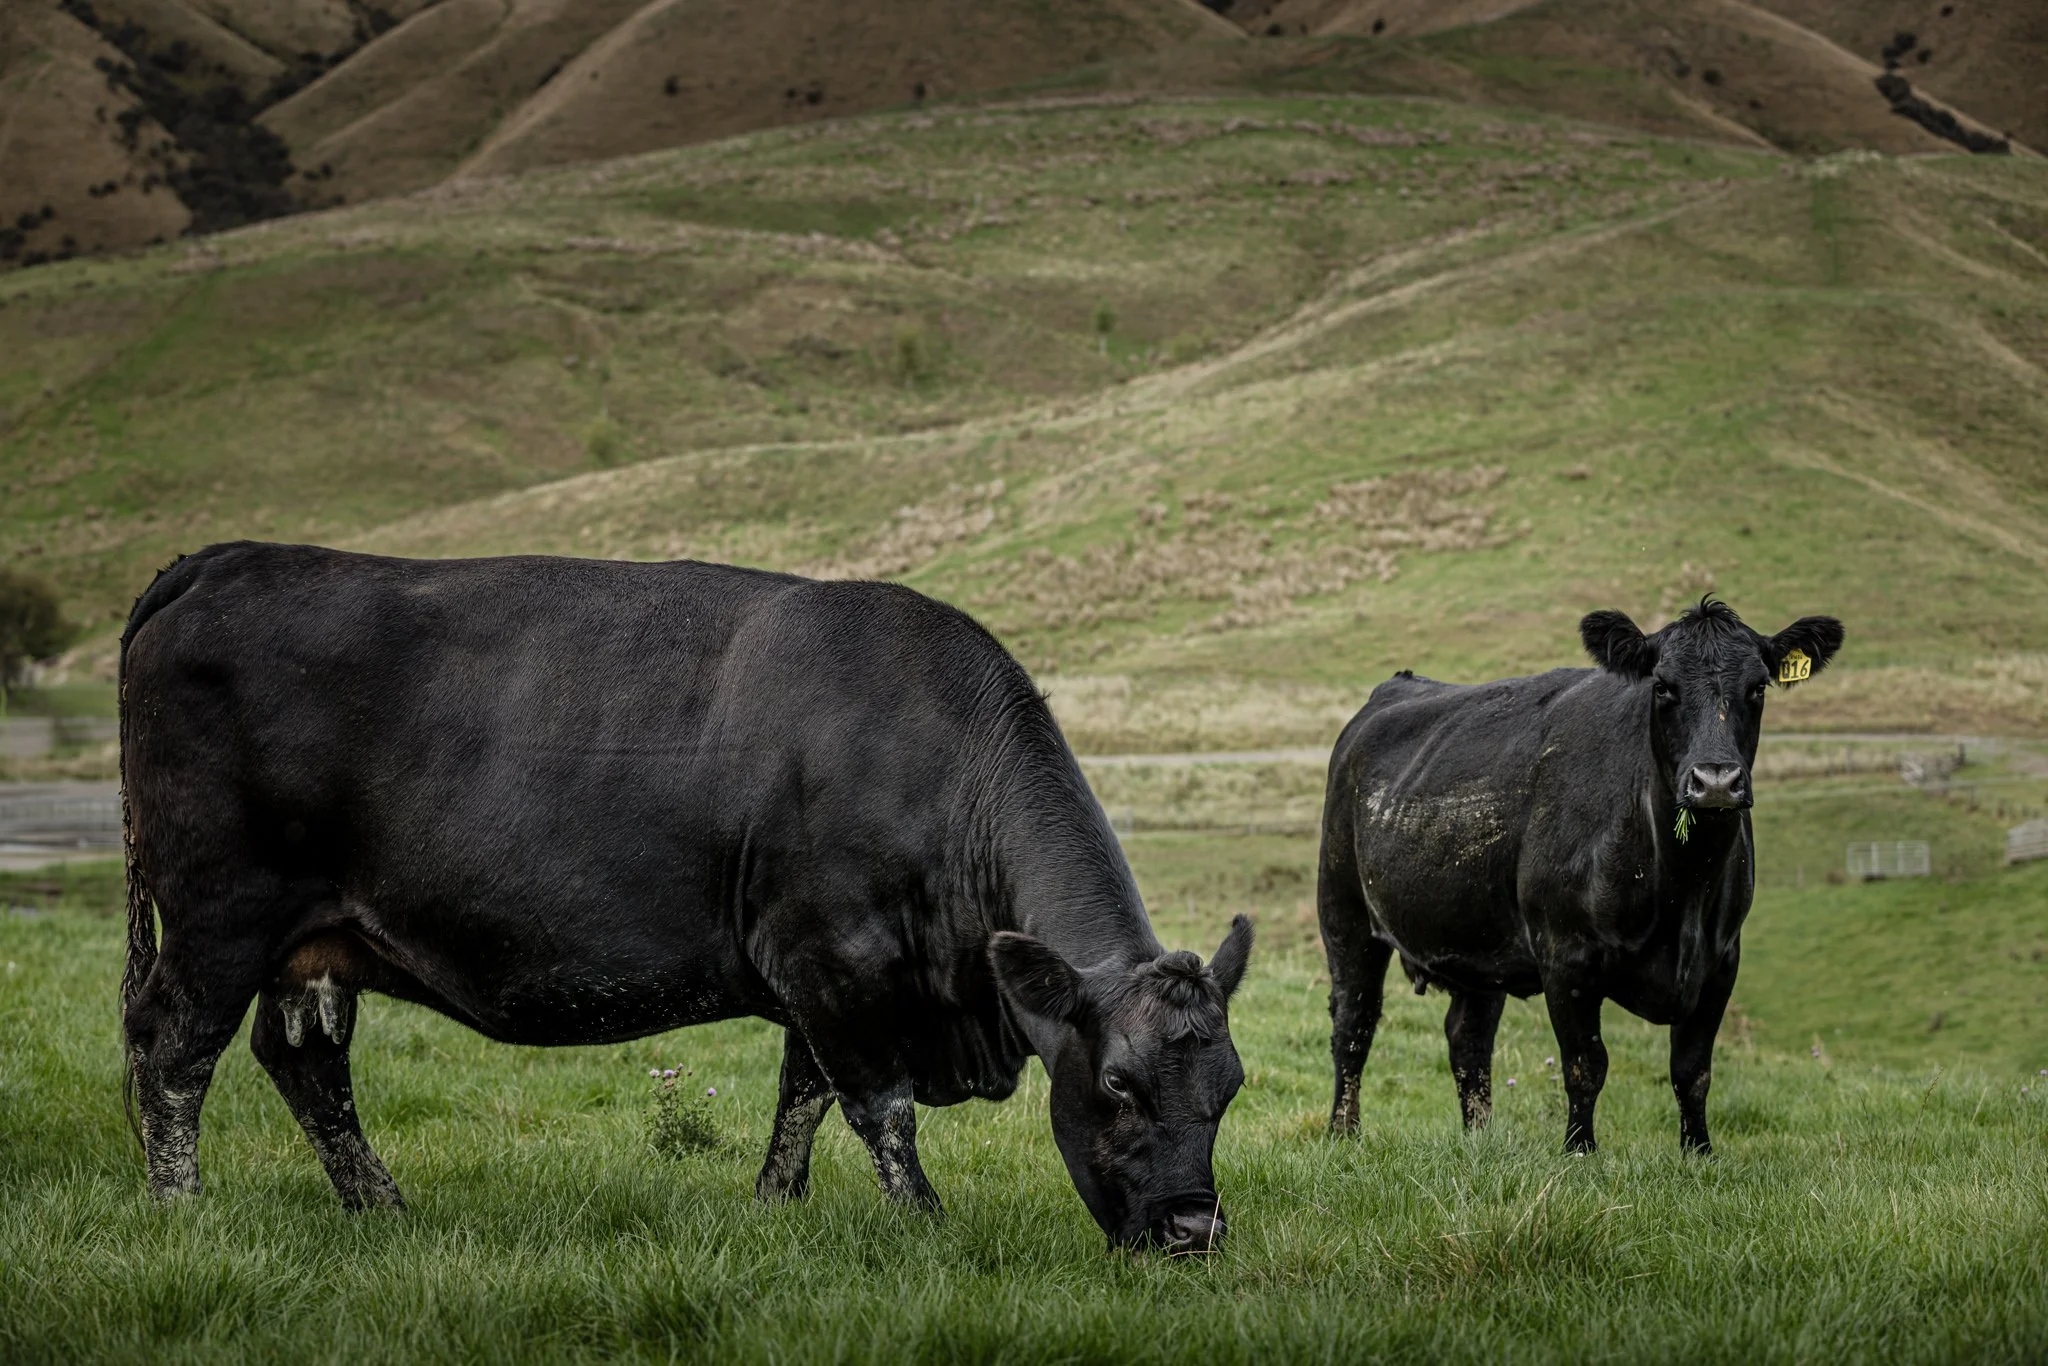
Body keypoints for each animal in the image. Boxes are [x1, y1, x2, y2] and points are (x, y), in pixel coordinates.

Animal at [118, 542, 1253, 1253]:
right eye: (1116, 1085)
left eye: (1232, 1088)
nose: (1194, 1230)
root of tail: (219, 559)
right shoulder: (834, 960)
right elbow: (876, 1108)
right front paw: (927, 1227)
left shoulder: (822, 975)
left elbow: (800, 1098)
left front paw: (773, 1211)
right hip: (221, 913)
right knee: (172, 1050)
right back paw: (181, 1212)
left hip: (311, 943)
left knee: (305, 1065)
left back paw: (381, 1208)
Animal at [1317, 598, 1842, 1154]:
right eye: (1662, 686)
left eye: (1758, 687)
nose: (1715, 780)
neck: (1682, 890)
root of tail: (1396, 687)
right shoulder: (1565, 955)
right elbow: (1585, 1065)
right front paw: (1580, 1151)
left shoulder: (1721, 960)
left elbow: (1692, 1071)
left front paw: (1699, 1152)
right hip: (1344, 912)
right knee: (1354, 1023)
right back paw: (1343, 1132)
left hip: (1478, 942)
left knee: (1467, 1038)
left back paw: (1479, 1140)